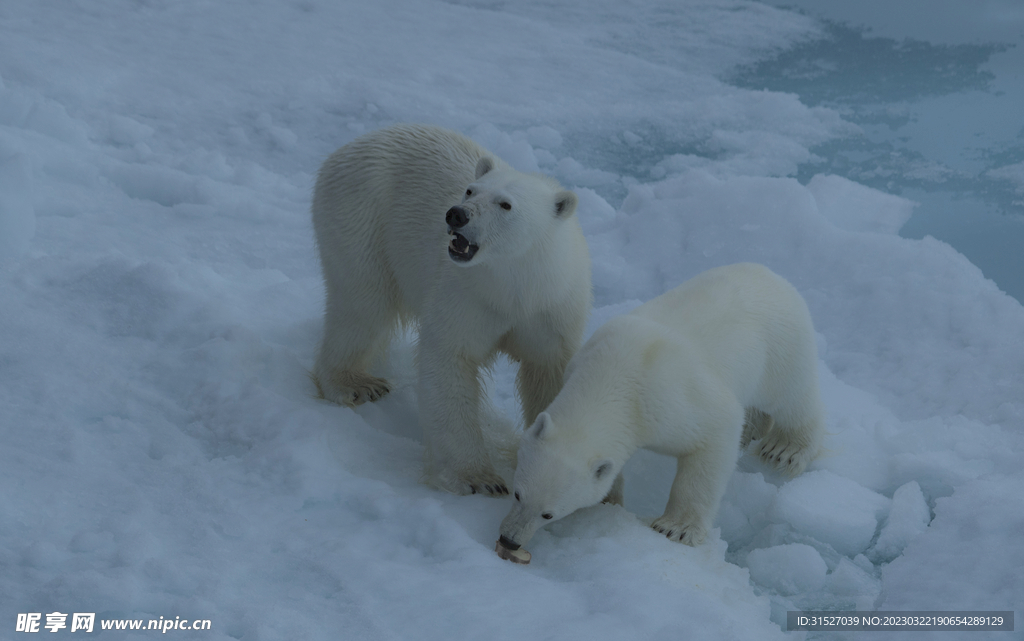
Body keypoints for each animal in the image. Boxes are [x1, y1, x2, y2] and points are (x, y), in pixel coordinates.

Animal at [309, 123, 593, 493]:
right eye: (470, 190)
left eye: (505, 204)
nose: (457, 213)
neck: (515, 287)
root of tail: (352, 145)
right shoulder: (467, 295)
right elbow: (449, 361)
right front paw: (479, 479)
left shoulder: (553, 310)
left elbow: (548, 374)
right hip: (361, 217)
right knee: (362, 303)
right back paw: (353, 384)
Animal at [499, 262, 827, 552]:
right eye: (517, 494)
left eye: (548, 513)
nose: (509, 540)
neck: (615, 375)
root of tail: (773, 275)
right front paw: (610, 499)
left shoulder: (670, 402)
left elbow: (715, 437)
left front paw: (676, 528)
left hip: (780, 345)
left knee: (792, 397)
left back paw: (784, 449)